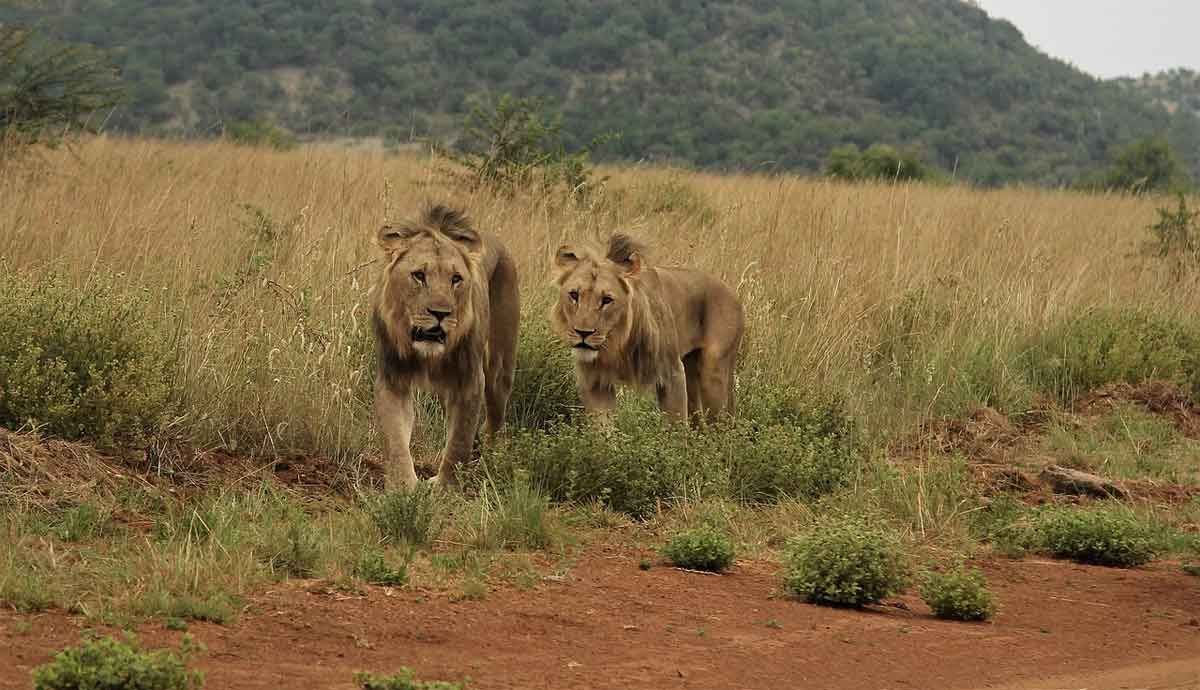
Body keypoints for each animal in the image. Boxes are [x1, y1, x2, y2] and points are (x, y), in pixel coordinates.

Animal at [372, 204, 519, 489]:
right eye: (419, 275)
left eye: (455, 279)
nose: (440, 313)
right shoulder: (393, 378)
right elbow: (395, 438)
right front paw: (403, 486)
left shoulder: (470, 380)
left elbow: (459, 441)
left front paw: (445, 486)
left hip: (499, 367)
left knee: (495, 418)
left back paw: (490, 459)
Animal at [551, 234, 744, 423]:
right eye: (574, 295)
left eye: (607, 300)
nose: (583, 333)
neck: (618, 343)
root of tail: (732, 292)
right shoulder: (595, 383)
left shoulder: (671, 373)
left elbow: (676, 426)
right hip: (692, 369)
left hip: (713, 373)